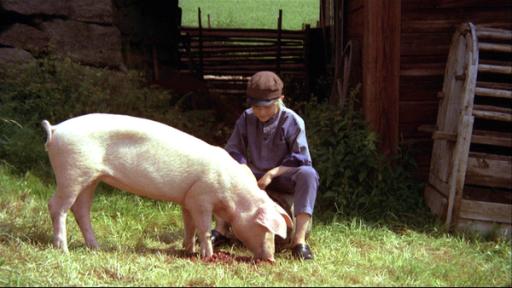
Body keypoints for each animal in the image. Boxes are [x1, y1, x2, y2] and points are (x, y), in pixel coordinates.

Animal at [42, 112, 292, 260]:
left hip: (91, 179)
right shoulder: (201, 198)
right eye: (266, 229)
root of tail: (55, 130)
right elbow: (203, 227)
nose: (271, 259)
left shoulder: (188, 199)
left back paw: (96, 247)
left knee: (81, 209)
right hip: (71, 172)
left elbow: (190, 226)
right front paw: (207, 257)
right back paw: (63, 249)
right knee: (57, 206)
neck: (234, 195)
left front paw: (189, 250)